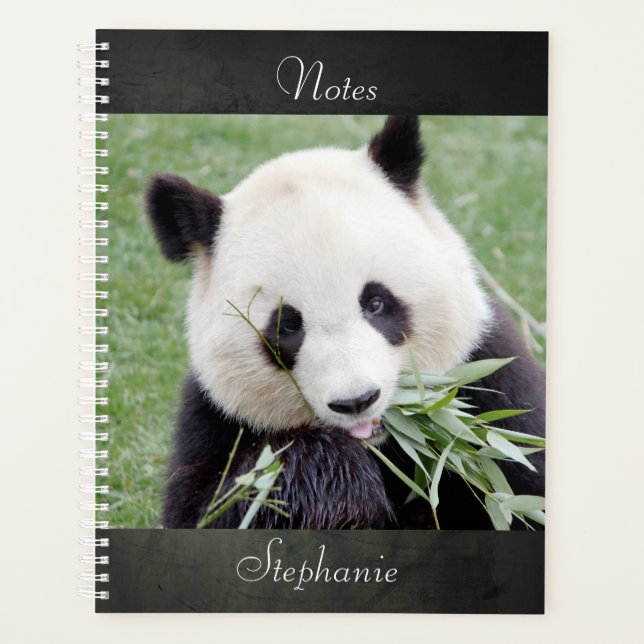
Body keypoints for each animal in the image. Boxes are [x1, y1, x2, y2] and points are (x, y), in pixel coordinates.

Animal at [145, 115, 545, 530]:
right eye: (287, 327)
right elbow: (215, 506)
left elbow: (523, 487)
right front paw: (335, 481)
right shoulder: (215, 417)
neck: (382, 444)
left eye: (375, 303)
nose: (356, 401)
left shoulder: (492, 380)